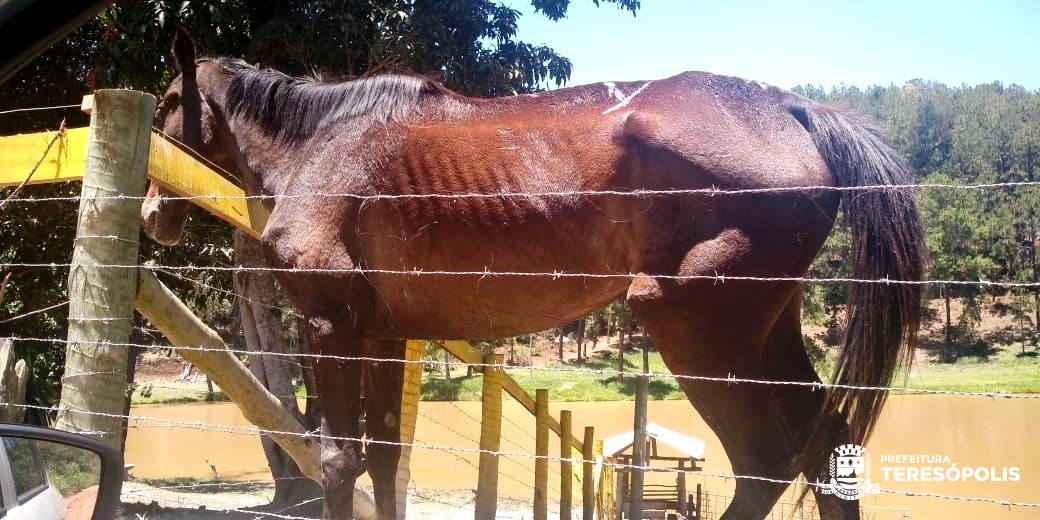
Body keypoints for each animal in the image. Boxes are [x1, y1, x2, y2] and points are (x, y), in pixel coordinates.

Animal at [143, 29, 924, 520]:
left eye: (167, 104)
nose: (152, 211)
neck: (324, 147)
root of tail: (796, 108)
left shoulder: (330, 326)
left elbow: (338, 461)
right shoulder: (385, 337)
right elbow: (386, 460)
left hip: (695, 330)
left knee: (767, 460)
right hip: (768, 333)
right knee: (826, 450)